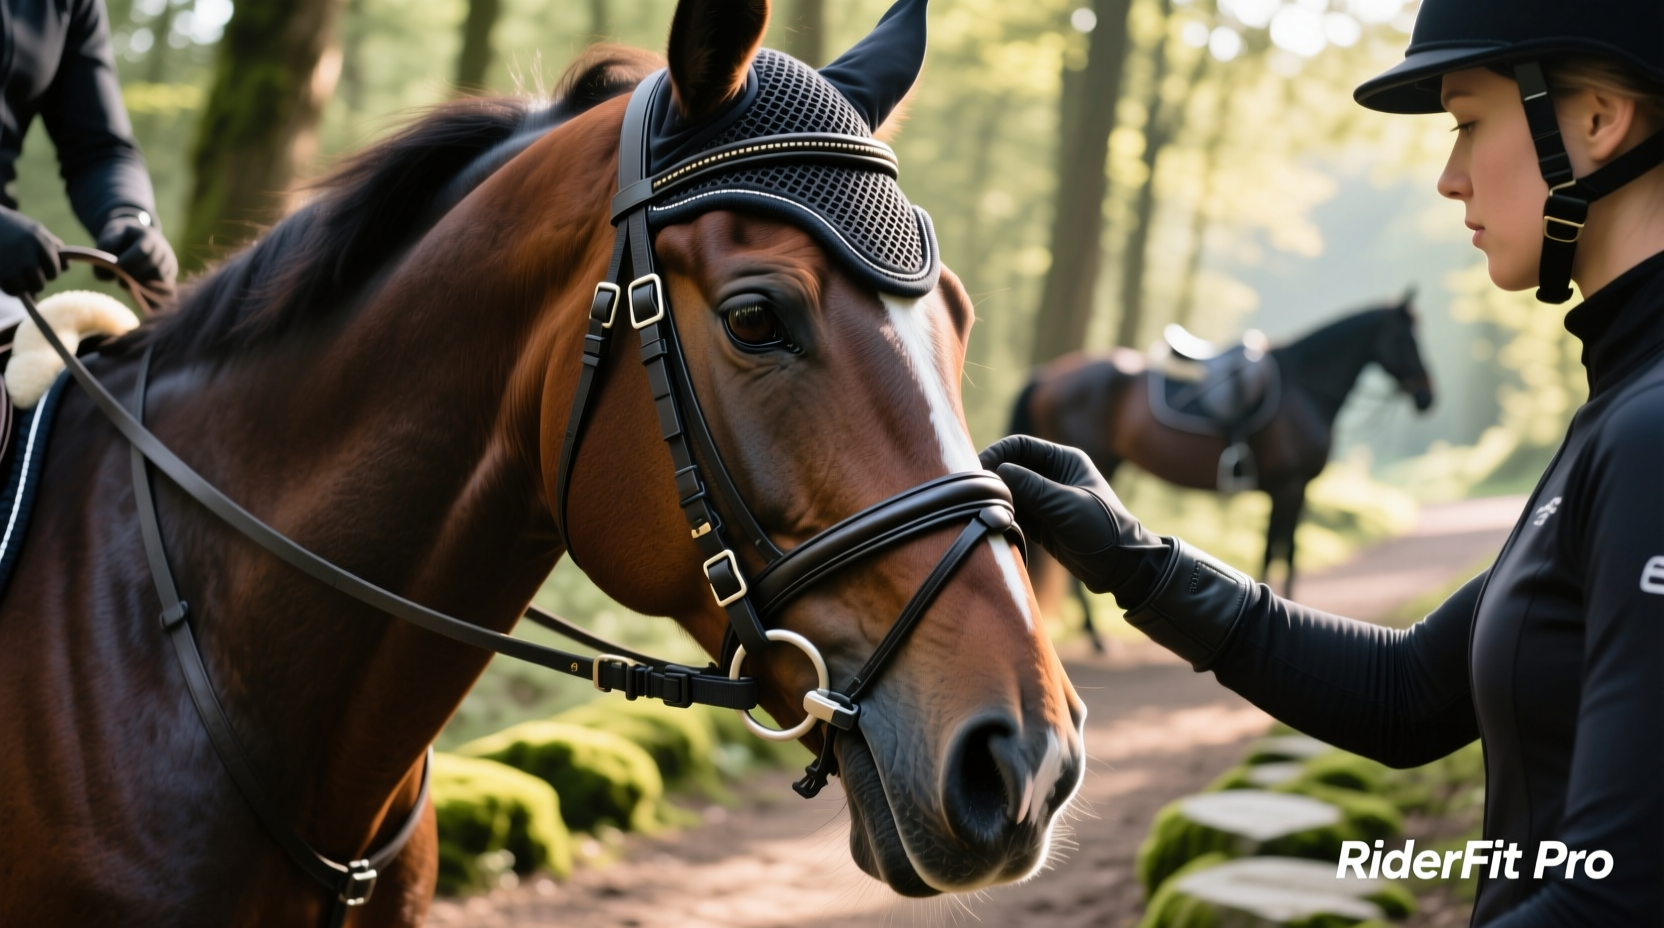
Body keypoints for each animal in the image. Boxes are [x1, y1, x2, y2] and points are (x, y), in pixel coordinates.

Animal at [1011, 294, 1433, 635]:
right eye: (1407, 339)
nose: (1428, 396)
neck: (1303, 387)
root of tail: (1047, 375)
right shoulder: (1289, 486)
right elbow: (1280, 552)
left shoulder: (1289, 490)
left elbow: (1281, 549)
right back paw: (1096, 637)